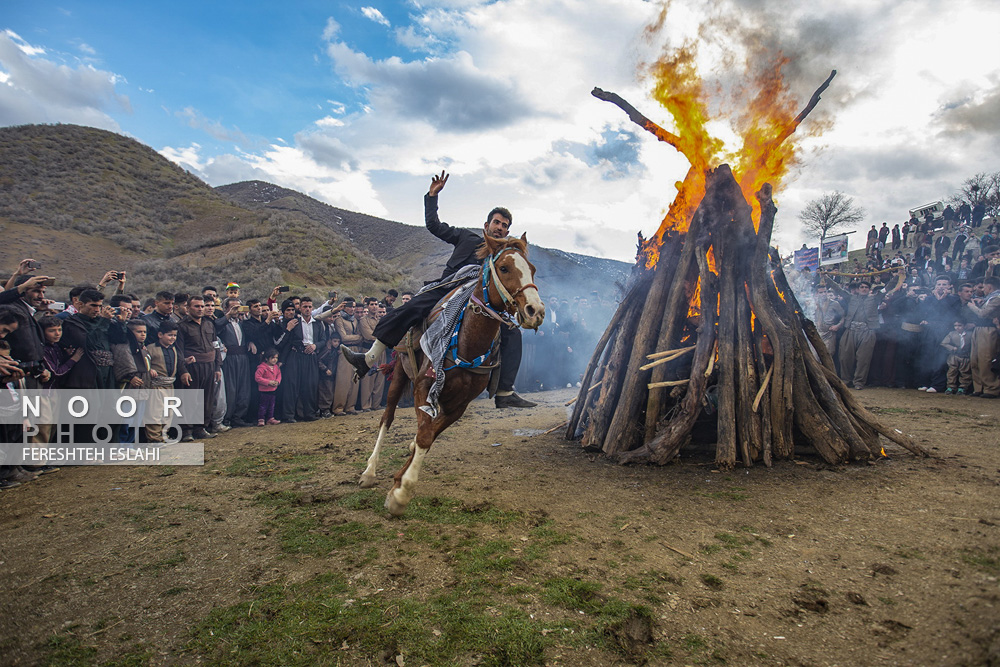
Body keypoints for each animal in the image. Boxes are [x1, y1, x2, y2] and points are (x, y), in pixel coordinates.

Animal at [362, 235, 548, 516]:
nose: (534, 311)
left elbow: (428, 436)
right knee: (387, 417)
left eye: (533, 269)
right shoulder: (423, 386)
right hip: (400, 375)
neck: (467, 342)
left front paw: (399, 483)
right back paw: (369, 470)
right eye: (504, 268)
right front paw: (401, 493)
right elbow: (424, 435)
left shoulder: (459, 405)